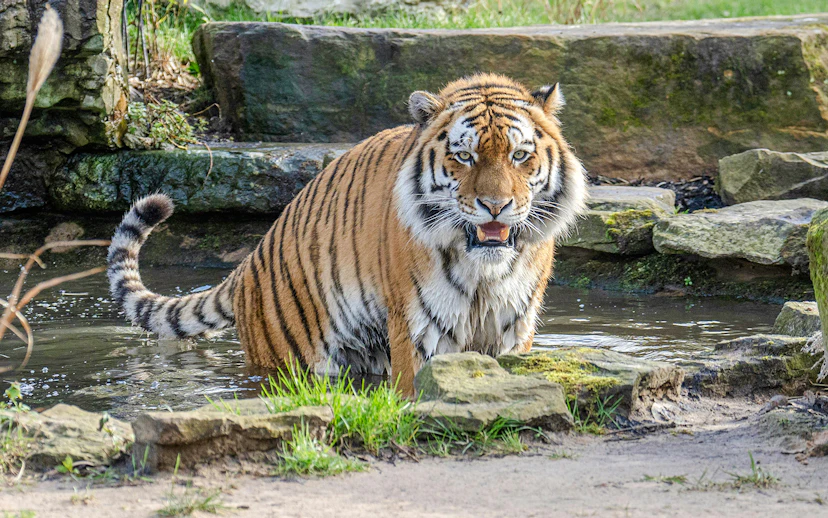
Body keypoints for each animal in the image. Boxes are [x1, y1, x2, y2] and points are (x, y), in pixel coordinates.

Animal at [107, 73, 588, 395]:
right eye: (464, 157)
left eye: (520, 155)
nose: (495, 206)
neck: (485, 274)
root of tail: (247, 264)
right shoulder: (422, 329)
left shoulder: (513, 326)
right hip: (290, 354)